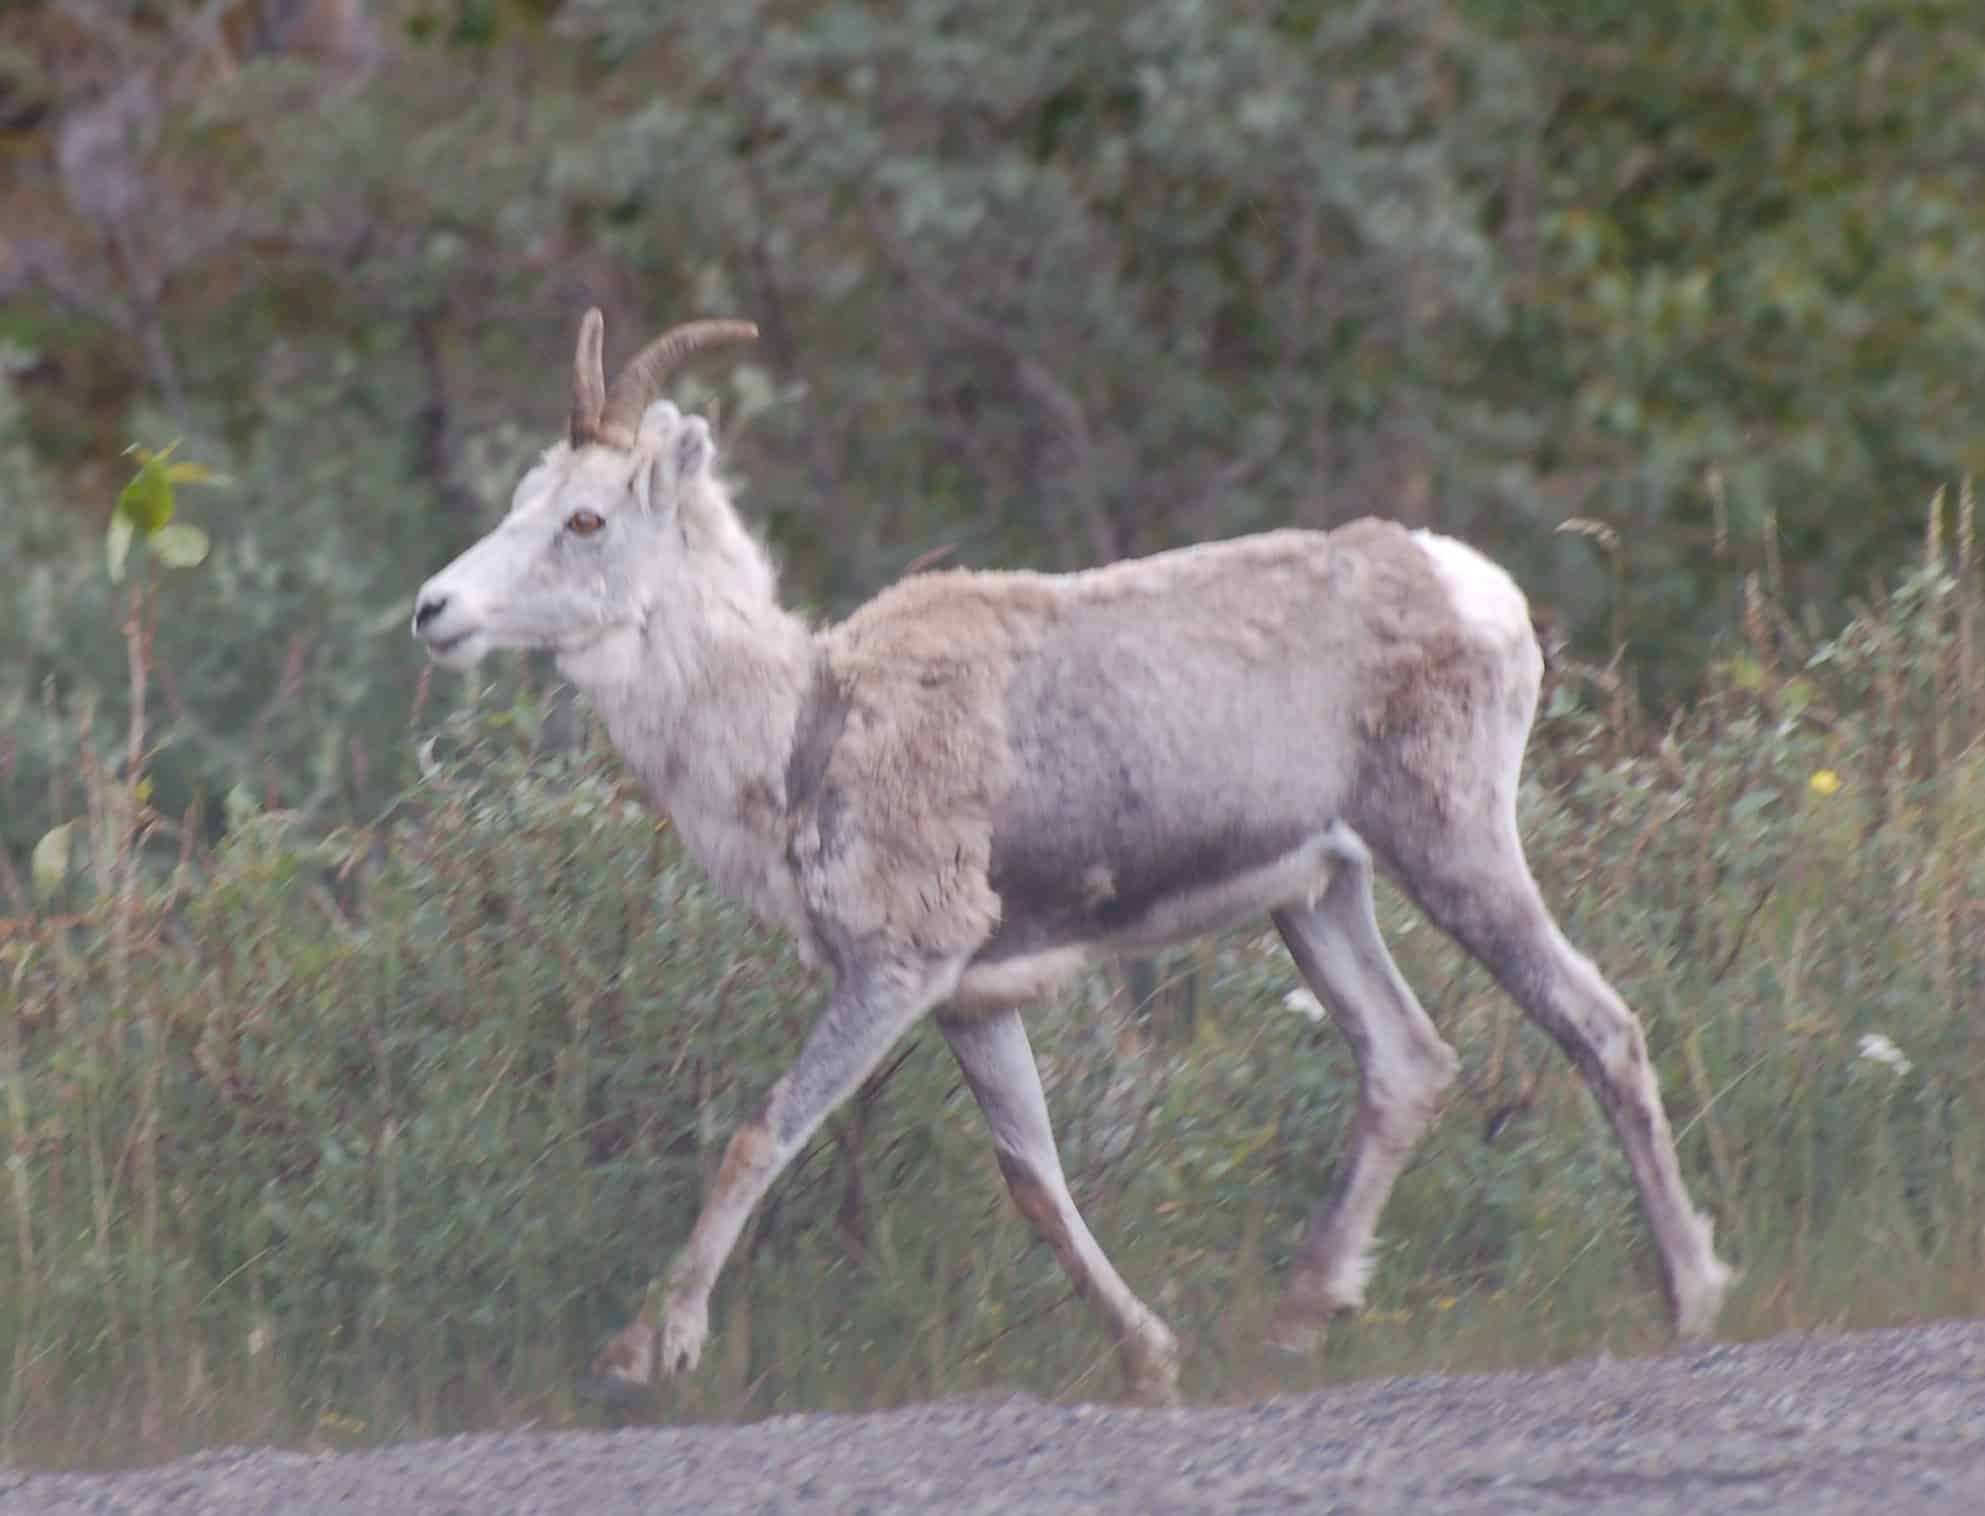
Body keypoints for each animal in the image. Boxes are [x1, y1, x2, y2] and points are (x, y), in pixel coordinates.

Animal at [411, 310, 1733, 1405]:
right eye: (524, 496)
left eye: (585, 517)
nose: (434, 611)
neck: (800, 728)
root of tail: (1479, 593)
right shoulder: (970, 1000)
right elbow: (1033, 1179)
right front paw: (1151, 1358)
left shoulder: (895, 969)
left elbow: (759, 1137)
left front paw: (645, 1352)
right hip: (1320, 897)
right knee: (1406, 1061)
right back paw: (1291, 1322)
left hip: (1451, 848)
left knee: (1595, 1023)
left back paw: (1688, 1299)